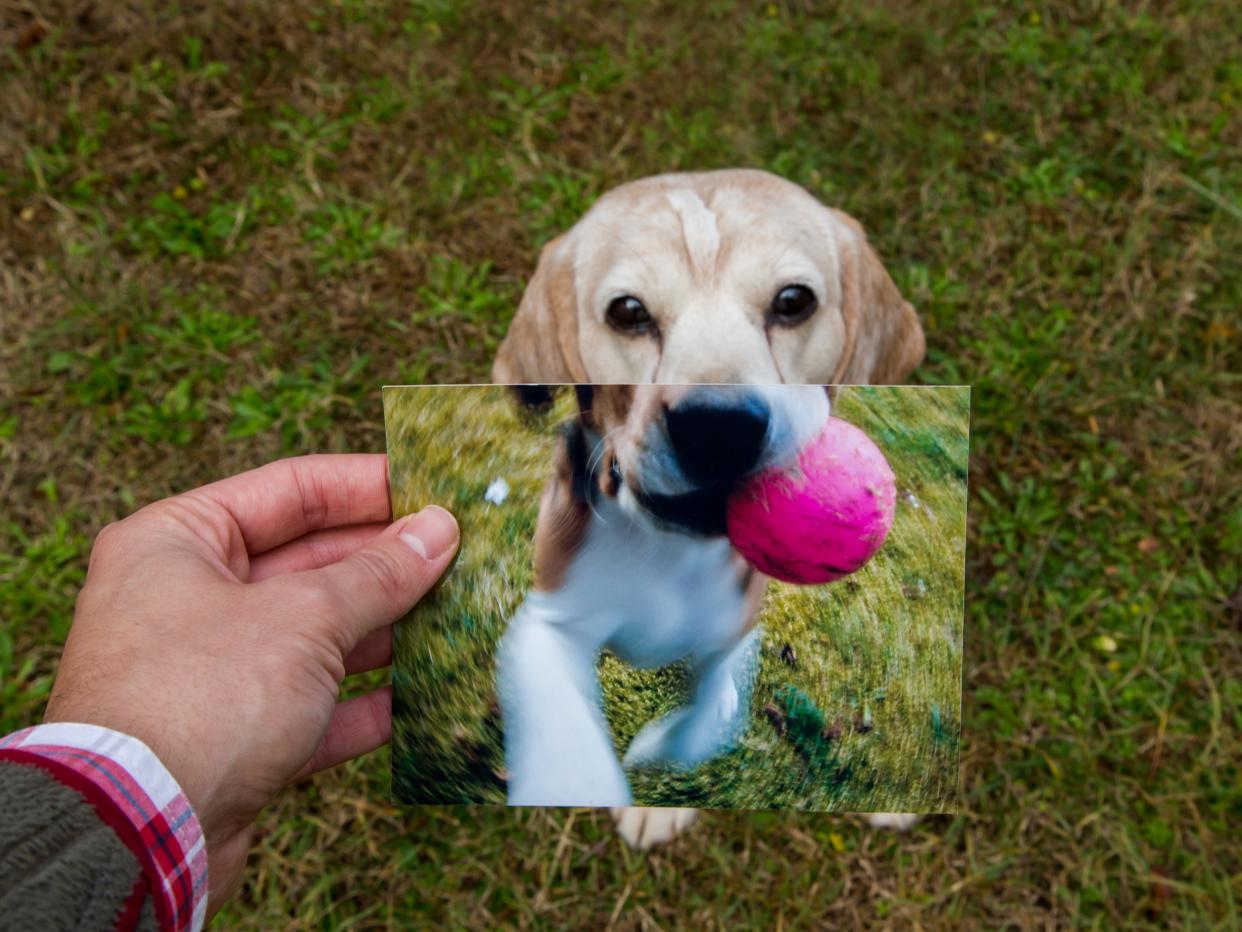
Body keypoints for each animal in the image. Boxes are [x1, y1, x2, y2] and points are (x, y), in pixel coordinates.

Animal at [489, 170, 929, 854]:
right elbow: (565, 724)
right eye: (628, 312)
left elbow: (710, 713)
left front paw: (659, 751)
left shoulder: (736, 629)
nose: (718, 427)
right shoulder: (545, 623)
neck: (668, 556)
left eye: (794, 301)